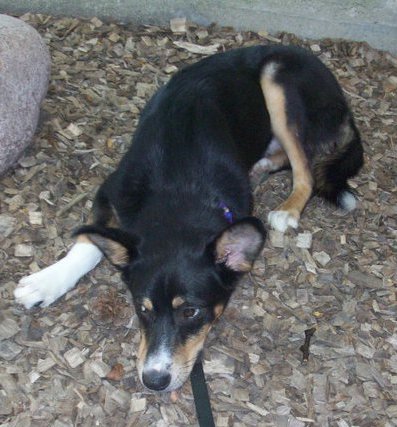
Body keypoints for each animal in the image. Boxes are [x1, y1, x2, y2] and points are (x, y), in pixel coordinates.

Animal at [14, 45, 362, 392]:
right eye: (142, 309)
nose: (154, 380)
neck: (178, 184)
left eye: (191, 312)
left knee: (305, 171)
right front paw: (46, 282)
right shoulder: (110, 189)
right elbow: (88, 241)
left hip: (278, 80)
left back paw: (287, 209)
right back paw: (262, 165)